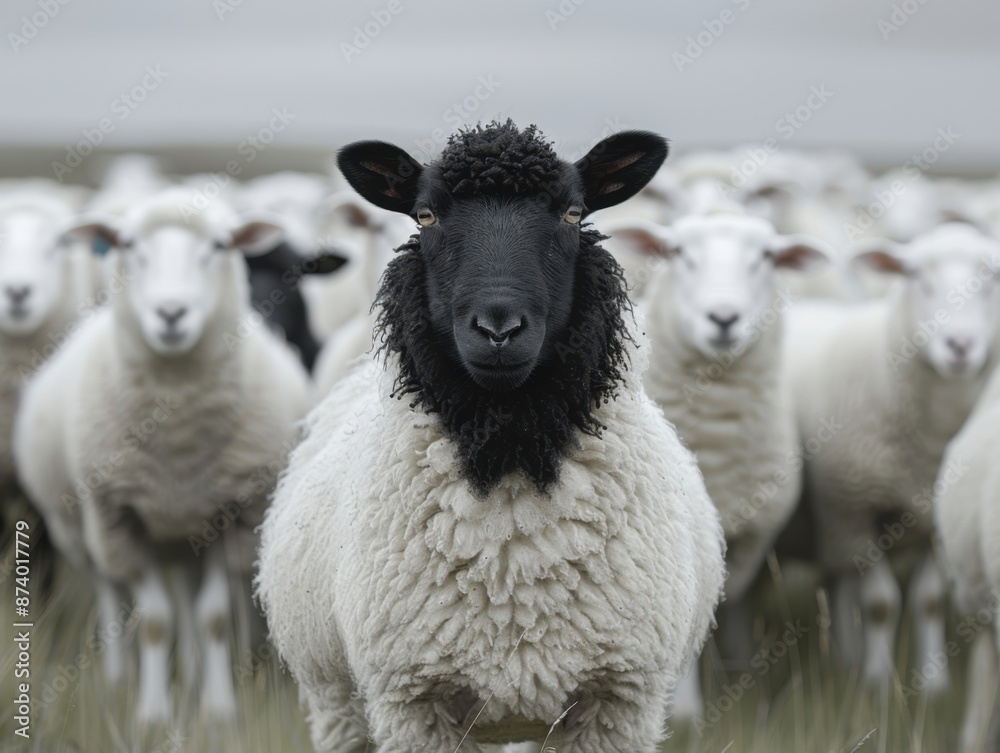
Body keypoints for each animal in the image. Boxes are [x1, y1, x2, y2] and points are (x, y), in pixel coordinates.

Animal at [13, 188, 311, 723]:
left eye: (219, 245)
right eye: (129, 246)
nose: (171, 313)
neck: (177, 435)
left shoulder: (231, 516)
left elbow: (212, 617)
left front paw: (216, 709)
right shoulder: (121, 517)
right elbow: (153, 620)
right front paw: (152, 713)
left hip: (184, 532)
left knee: (188, 602)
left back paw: (190, 673)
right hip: (80, 532)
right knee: (111, 594)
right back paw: (119, 676)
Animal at [256, 121, 726, 753]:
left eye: (573, 213)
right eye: (426, 216)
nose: (498, 328)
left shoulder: (617, 701)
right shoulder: (414, 701)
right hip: (337, 702)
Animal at [595, 209, 832, 716]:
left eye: (766, 256)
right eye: (679, 252)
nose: (723, 318)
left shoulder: (746, 536)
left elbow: (728, 607)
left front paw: (736, 672)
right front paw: (686, 710)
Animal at [784, 222, 1000, 695]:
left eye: (992, 278)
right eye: (916, 276)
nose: (960, 346)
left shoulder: (937, 525)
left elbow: (930, 601)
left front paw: (934, 682)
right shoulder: (856, 511)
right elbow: (881, 603)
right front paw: (879, 684)